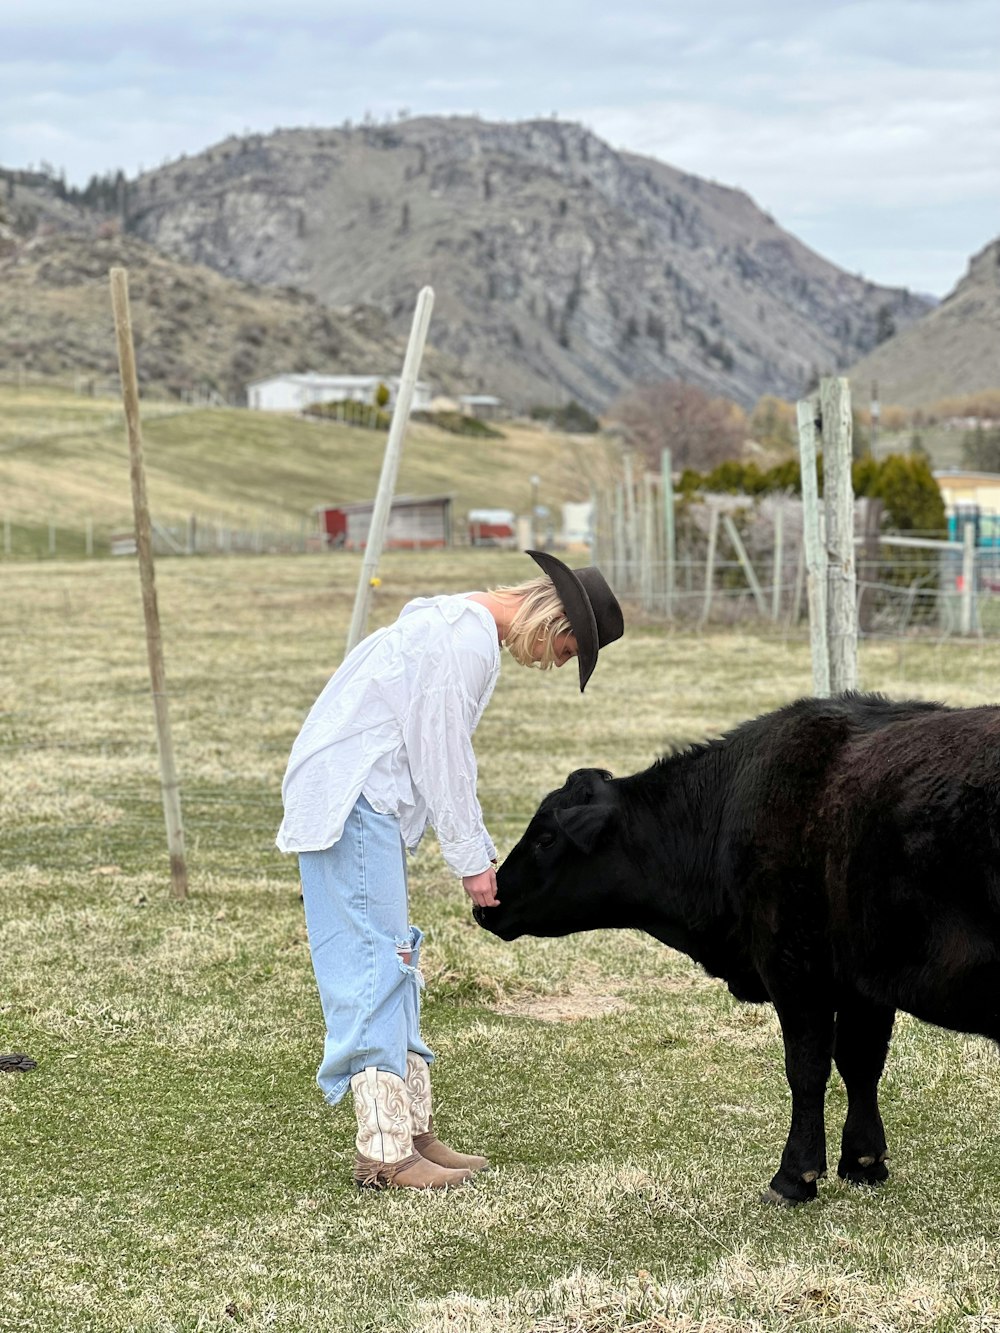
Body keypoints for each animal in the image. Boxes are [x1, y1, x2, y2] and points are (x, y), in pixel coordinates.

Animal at [474, 693, 1000, 1205]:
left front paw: (794, 1177)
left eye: (545, 838)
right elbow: (861, 1062)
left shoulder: (793, 966)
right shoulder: (862, 980)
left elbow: (807, 1068)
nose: (486, 902)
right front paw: (864, 1163)